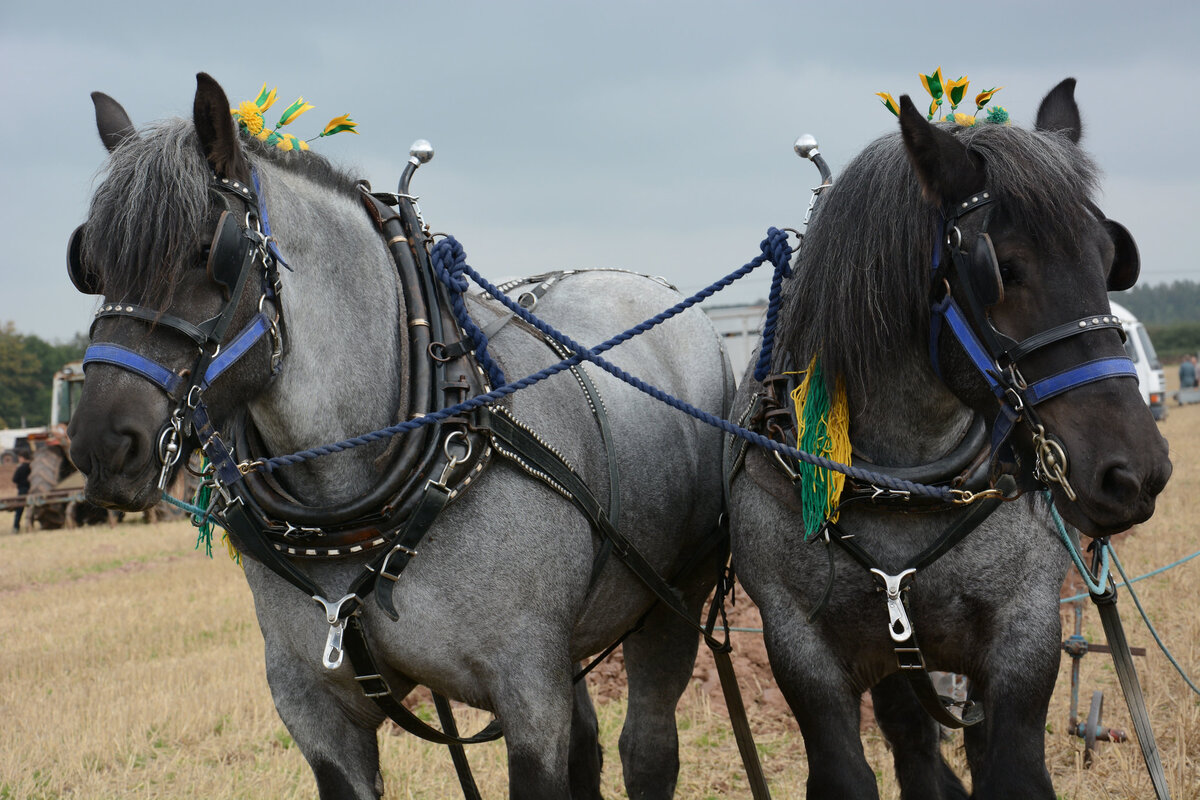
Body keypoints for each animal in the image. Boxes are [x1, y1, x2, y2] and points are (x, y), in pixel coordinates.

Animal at [68, 71, 729, 796]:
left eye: (208, 254)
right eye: (89, 264)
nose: (103, 444)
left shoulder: (529, 690)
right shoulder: (315, 708)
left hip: (673, 599)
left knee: (649, 745)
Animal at [724, 77, 1166, 796]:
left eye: (1109, 259)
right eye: (1004, 269)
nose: (1134, 472)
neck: (906, 482)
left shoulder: (1024, 632)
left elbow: (1008, 766)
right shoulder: (799, 645)